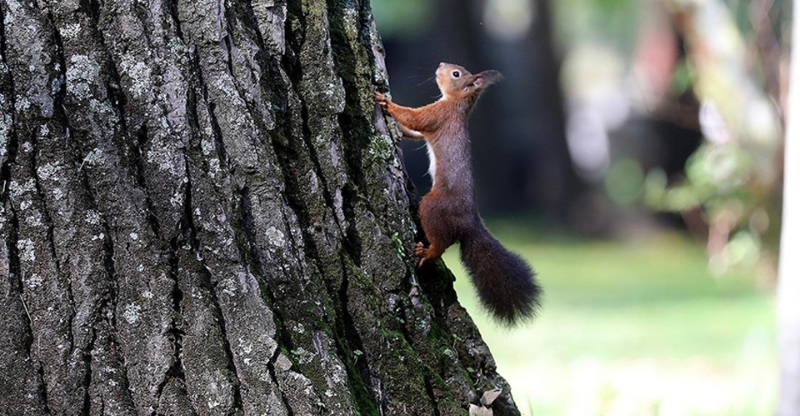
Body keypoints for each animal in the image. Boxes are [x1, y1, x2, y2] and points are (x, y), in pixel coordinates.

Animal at [376, 61, 540, 324]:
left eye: (456, 74)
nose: (441, 64)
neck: (457, 104)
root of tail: (469, 223)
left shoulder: (439, 115)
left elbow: (415, 118)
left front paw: (387, 103)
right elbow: (413, 131)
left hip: (432, 206)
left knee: (441, 244)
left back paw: (428, 252)